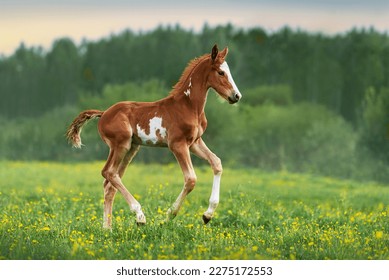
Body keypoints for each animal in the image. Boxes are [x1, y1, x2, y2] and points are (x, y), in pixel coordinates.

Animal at [68, 44, 241, 229]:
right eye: (221, 72)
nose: (236, 96)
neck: (188, 106)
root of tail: (104, 113)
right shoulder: (177, 144)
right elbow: (191, 179)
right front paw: (168, 216)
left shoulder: (195, 142)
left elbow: (216, 163)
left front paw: (207, 215)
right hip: (120, 145)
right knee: (108, 172)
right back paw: (139, 216)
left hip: (131, 148)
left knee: (109, 183)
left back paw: (107, 229)